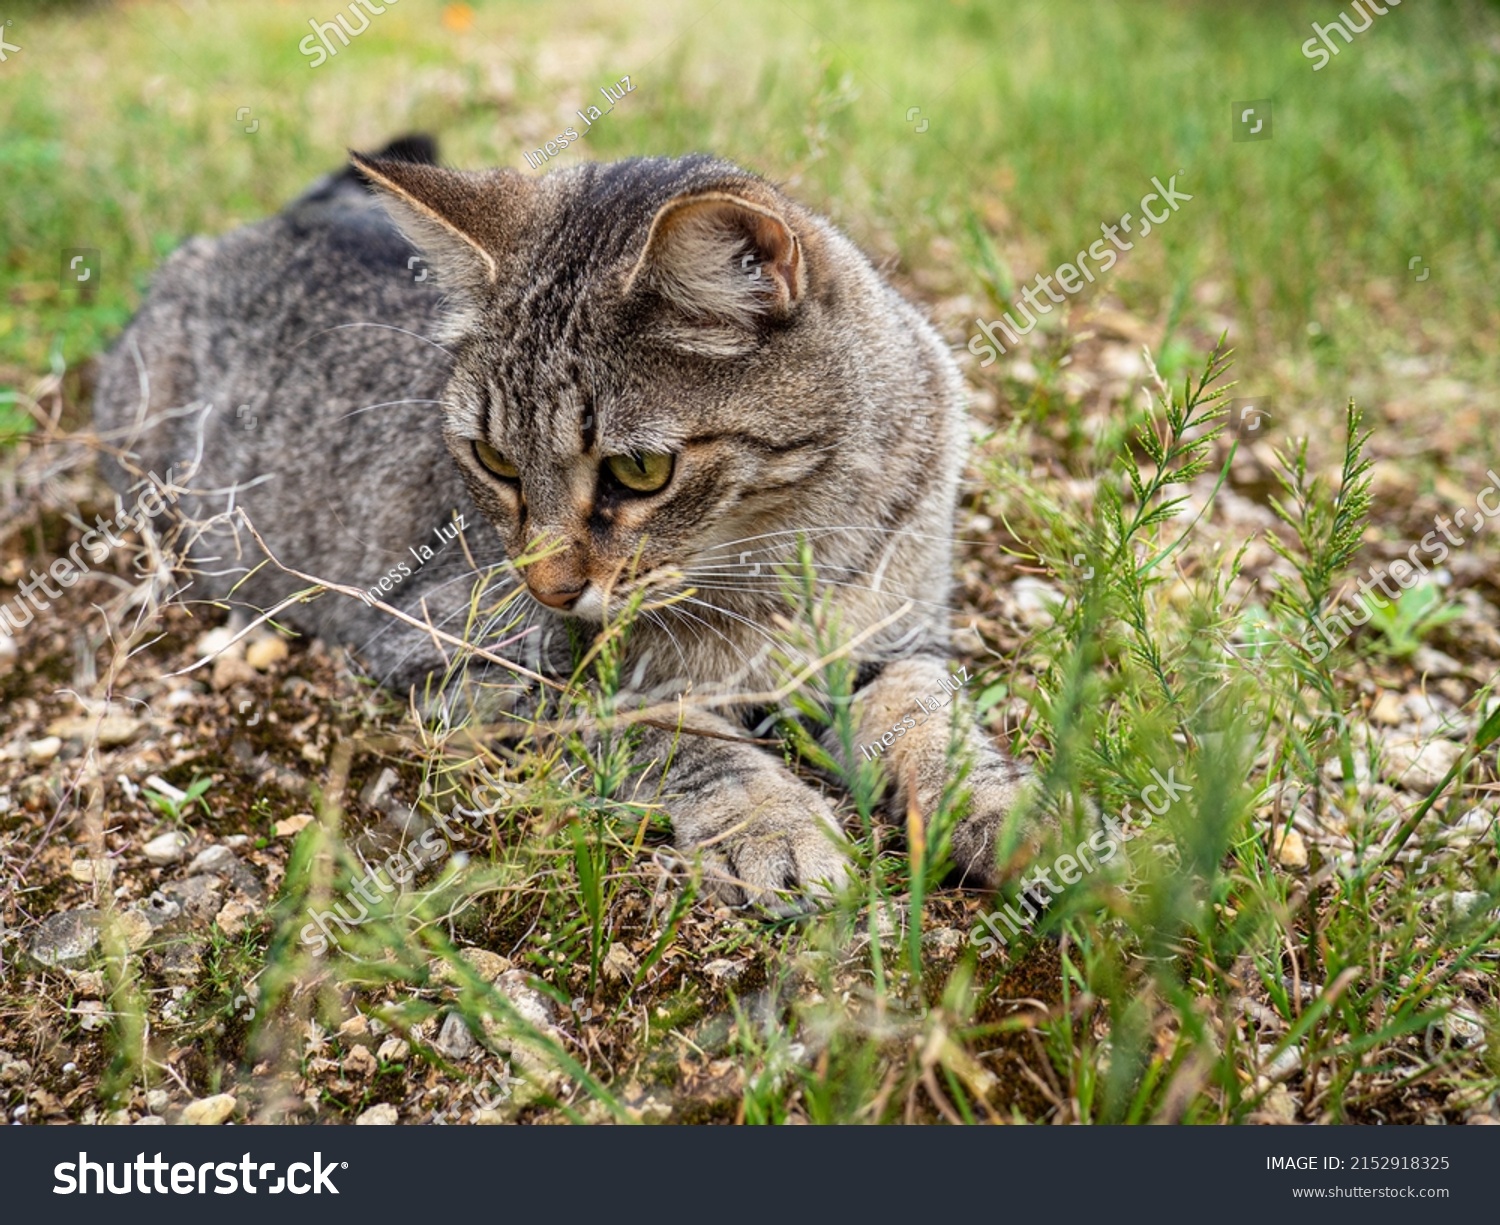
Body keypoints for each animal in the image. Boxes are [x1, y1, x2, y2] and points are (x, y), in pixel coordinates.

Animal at [93, 138, 1032, 905]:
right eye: (494, 459)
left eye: (639, 471)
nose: (546, 585)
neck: (779, 555)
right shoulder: (464, 657)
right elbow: (667, 734)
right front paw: (768, 818)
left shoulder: (900, 637)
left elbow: (929, 717)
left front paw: (1002, 807)